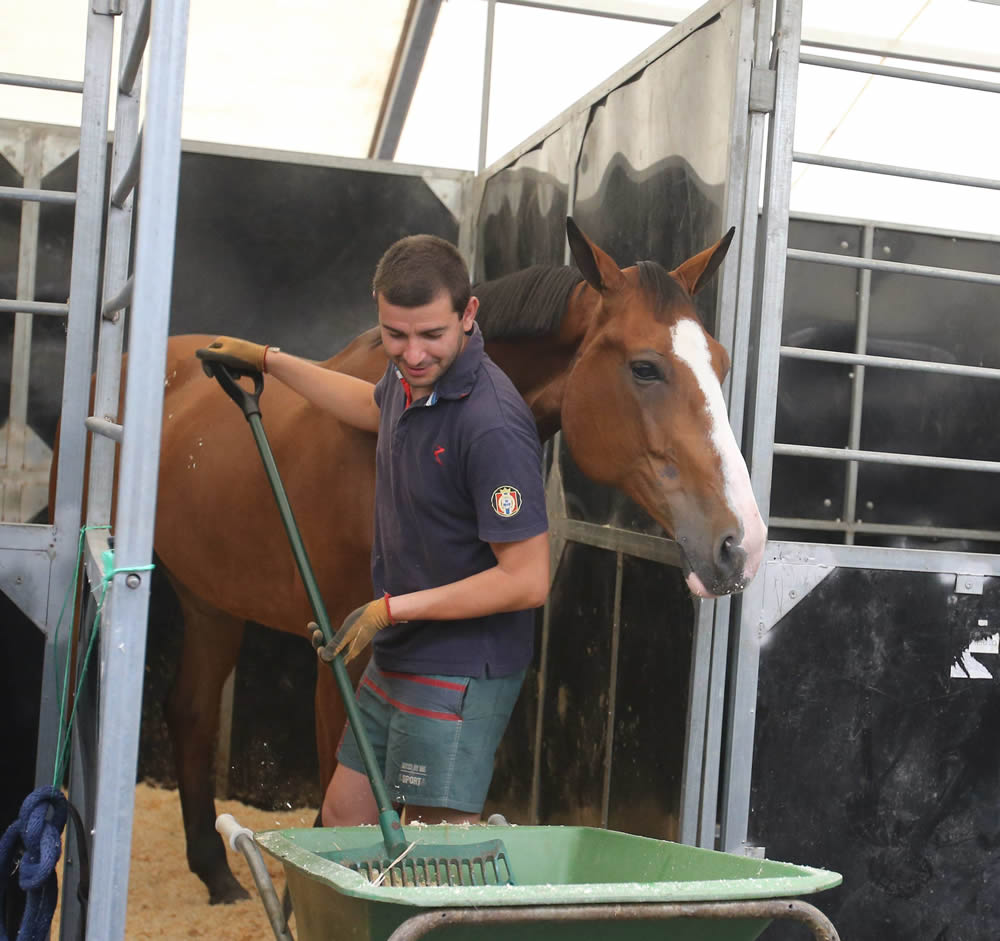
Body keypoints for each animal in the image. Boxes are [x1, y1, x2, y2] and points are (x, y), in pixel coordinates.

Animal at [145, 217, 768, 900]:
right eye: (646, 368)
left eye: (721, 363)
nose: (741, 542)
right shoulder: (339, 655)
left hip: (210, 604)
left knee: (191, 712)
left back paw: (215, 871)